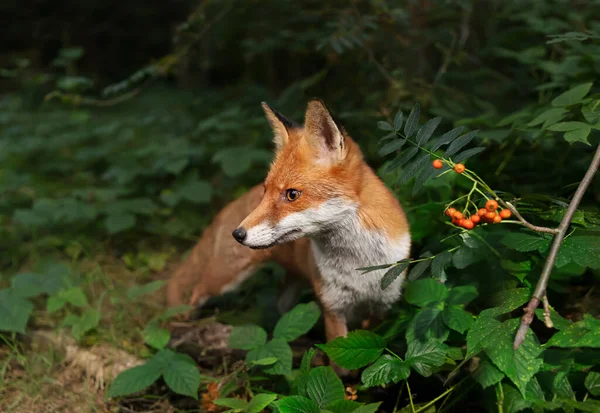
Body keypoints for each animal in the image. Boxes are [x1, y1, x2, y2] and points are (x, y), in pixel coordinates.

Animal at [166, 100, 410, 344]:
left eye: (292, 194)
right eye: (266, 191)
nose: (237, 234)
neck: (360, 263)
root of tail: (231, 203)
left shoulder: (382, 306)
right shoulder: (333, 309)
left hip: (291, 283)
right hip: (223, 278)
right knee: (196, 291)